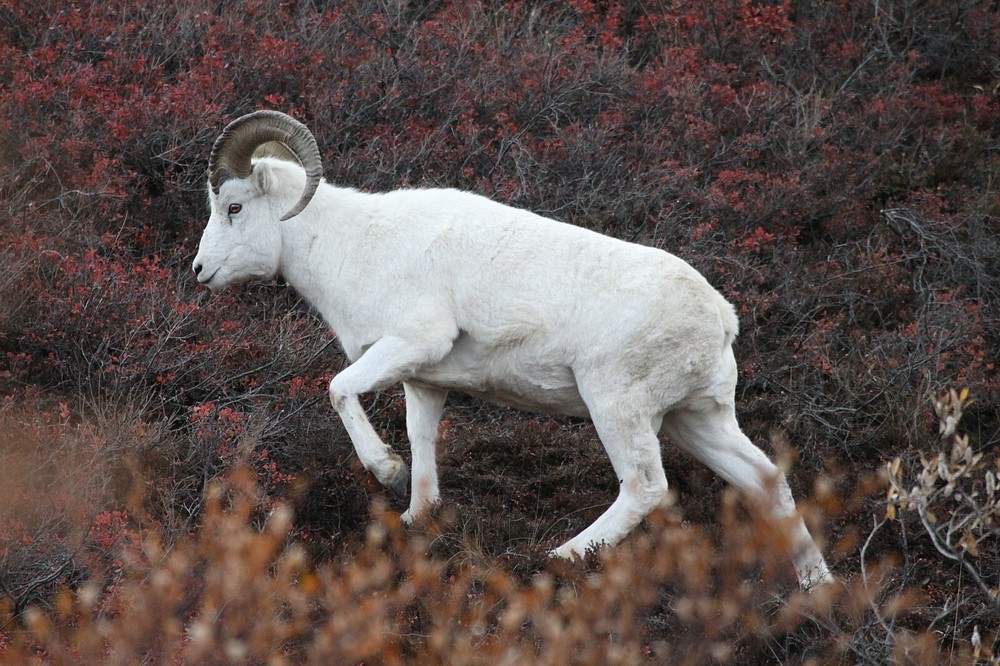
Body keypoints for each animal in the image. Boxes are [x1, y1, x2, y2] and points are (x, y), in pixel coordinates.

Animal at [192, 110, 833, 588]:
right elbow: (424, 451)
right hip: (693, 418)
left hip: (617, 405)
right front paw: (415, 514)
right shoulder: (423, 381)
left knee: (646, 487)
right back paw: (816, 590)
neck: (352, 245)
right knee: (766, 481)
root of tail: (719, 318)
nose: (200, 271)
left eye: (233, 207)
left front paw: (386, 470)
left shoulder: (411, 342)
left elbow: (339, 391)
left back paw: (561, 558)